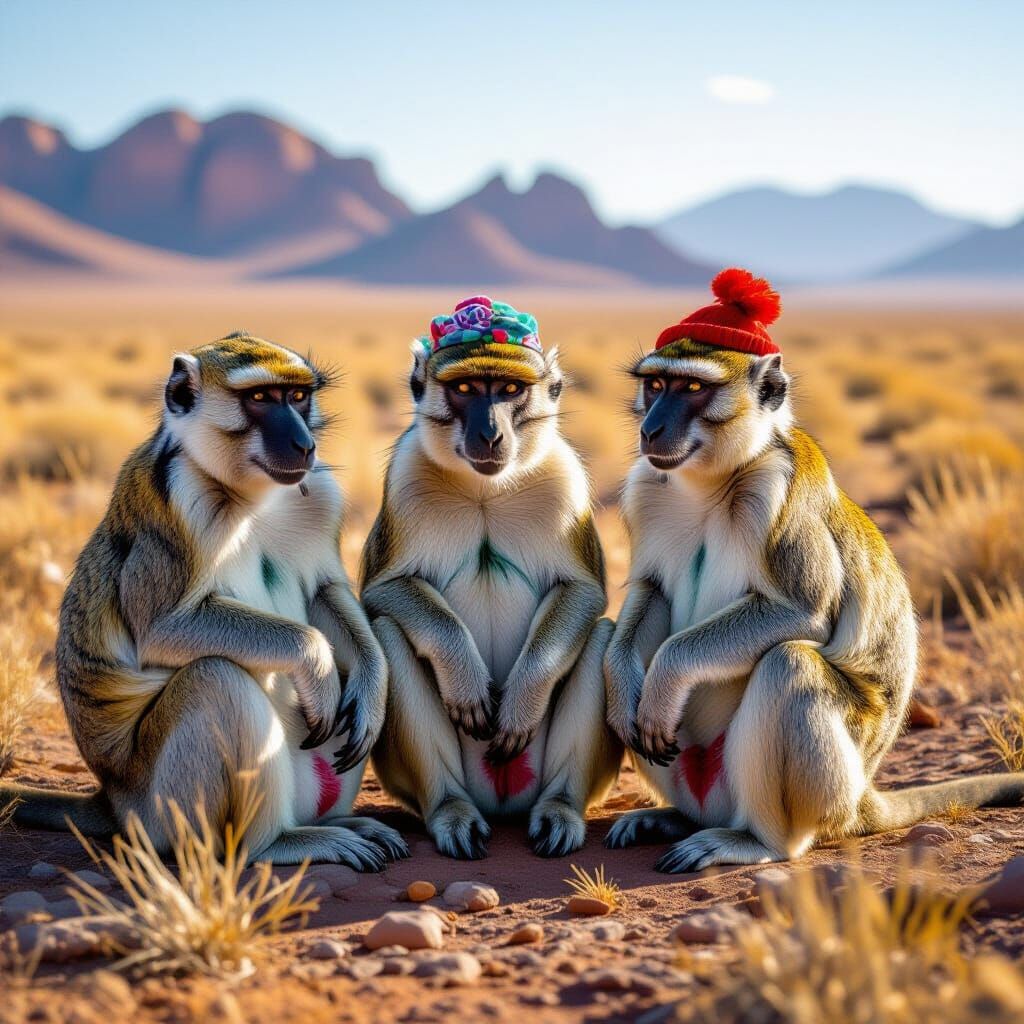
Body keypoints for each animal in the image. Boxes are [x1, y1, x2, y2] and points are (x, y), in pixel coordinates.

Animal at [0, 333, 407, 869]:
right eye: (261, 398)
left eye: (298, 397)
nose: (304, 443)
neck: (254, 497)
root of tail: (112, 801)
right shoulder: (180, 504)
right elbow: (164, 631)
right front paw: (314, 662)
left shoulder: (318, 491)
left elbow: (325, 590)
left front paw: (371, 684)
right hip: (159, 811)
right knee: (215, 677)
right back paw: (275, 843)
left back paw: (339, 820)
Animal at [361, 296, 621, 859]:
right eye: (464, 390)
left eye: (508, 390)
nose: (490, 433)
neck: (485, 491)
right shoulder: (405, 479)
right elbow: (384, 591)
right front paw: (465, 679)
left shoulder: (564, 482)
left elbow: (583, 592)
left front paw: (521, 700)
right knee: (390, 634)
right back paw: (451, 811)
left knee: (601, 636)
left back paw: (559, 809)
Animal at [603, 269, 1024, 872]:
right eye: (656, 385)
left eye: (693, 390)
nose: (651, 430)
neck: (711, 484)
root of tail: (861, 797)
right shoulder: (646, 488)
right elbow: (651, 590)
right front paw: (624, 688)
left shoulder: (776, 491)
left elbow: (801, 613)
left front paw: (663, 679)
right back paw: (674, 817)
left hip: (826, 790)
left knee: (790, 665)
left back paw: (759, 842)